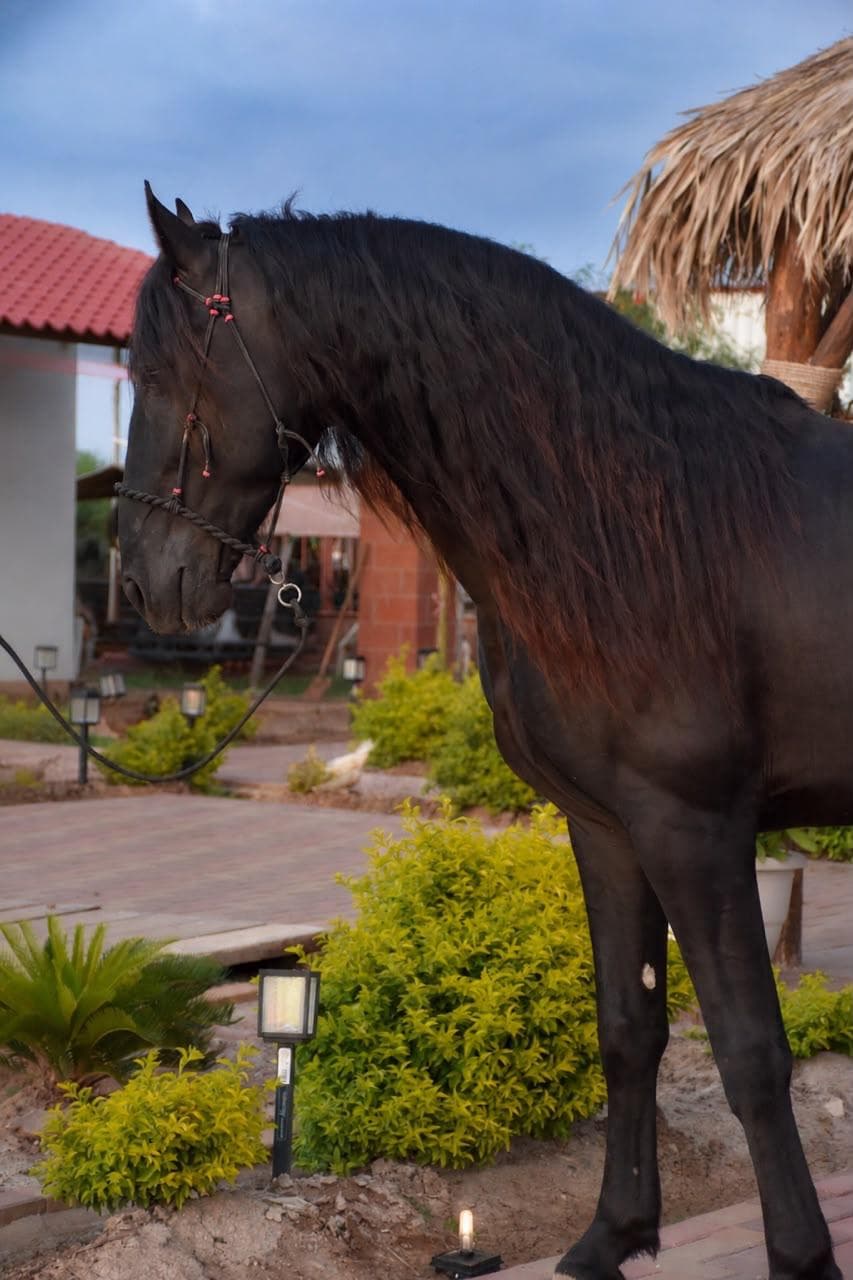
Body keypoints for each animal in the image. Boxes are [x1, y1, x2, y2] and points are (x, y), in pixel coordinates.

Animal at [118, 185, 850, 1280]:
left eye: (163, 372)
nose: (146, 582)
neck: (635, 520)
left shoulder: (696, 827)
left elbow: (751, 1050)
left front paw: (801, 1257)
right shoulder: (608, 825)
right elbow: (627, 1028)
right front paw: (610, 1234)